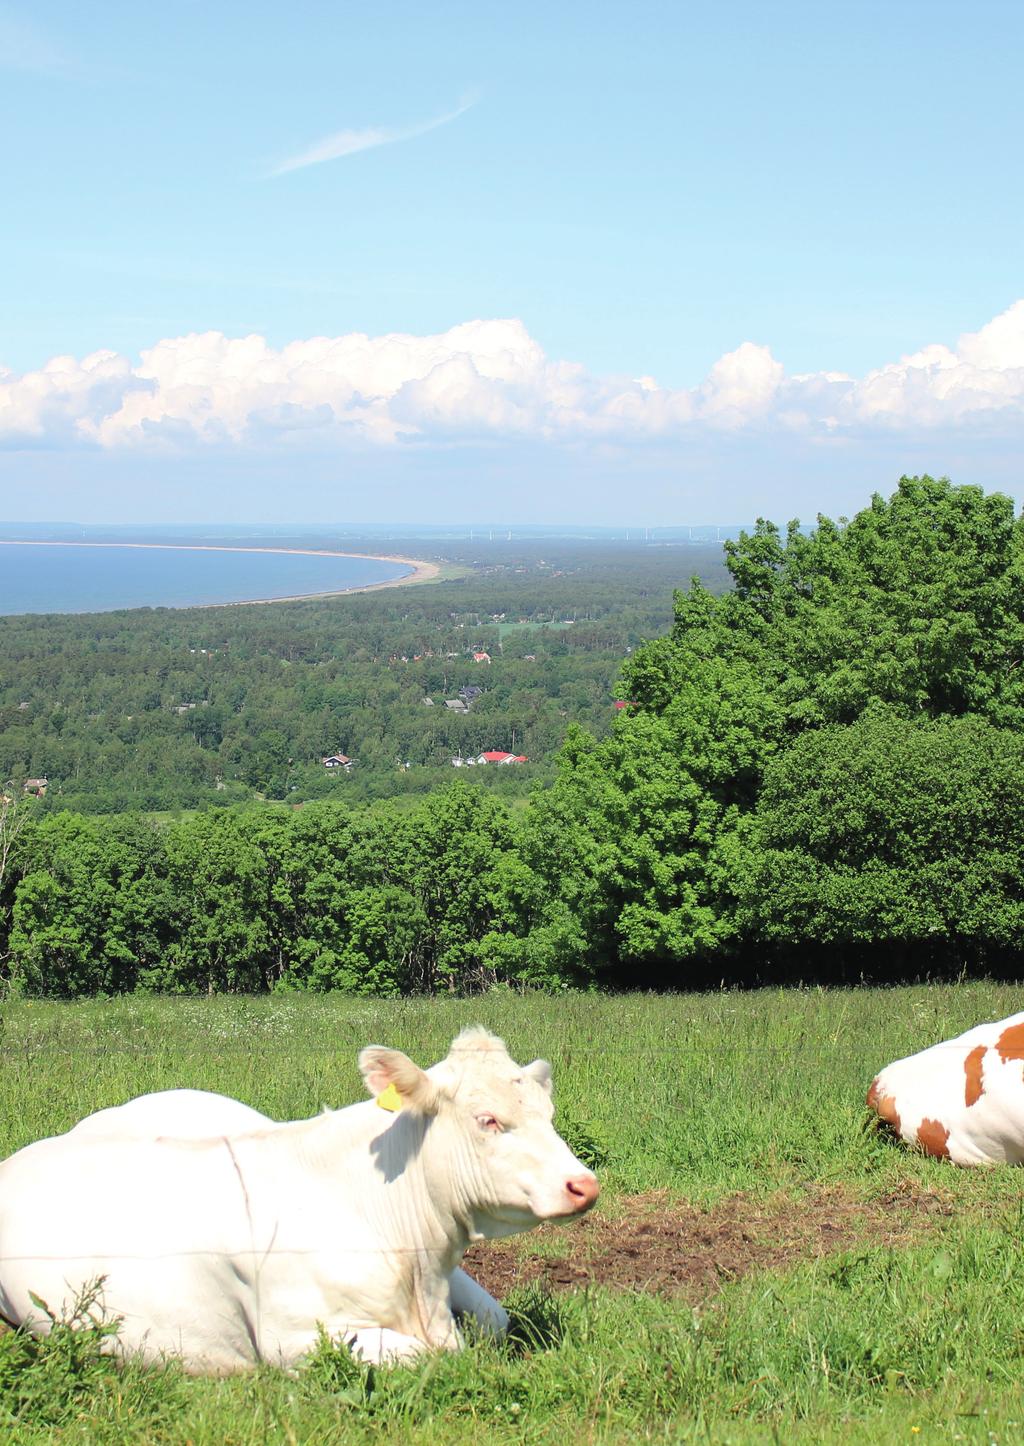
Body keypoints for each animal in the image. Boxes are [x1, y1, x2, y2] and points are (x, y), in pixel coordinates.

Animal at [0, 1023, 595, 1370]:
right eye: (487, 1119)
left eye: (548, 1112)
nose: (584, 1184)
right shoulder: (291, 1337)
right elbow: (430, 1357)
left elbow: (494, 1322)